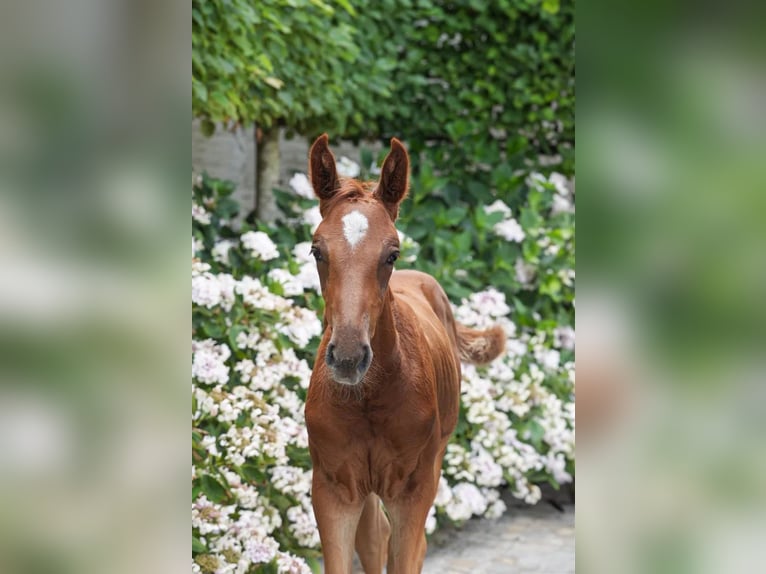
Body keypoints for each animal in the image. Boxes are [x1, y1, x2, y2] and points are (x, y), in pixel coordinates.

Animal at [304, 134, 506, 573]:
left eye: (391, 254)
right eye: (316, 251)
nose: (348, 357)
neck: (369, 399)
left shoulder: (413, 487)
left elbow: (406, 554)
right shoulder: (333, 488)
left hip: (435, 458)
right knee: (374, 536)